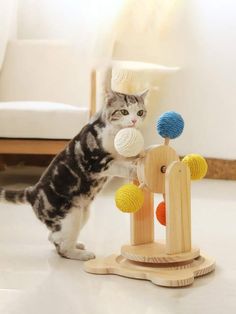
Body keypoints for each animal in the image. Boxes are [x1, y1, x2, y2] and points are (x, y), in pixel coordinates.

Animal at [0, 89, 148, 262]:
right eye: (124, 111)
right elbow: (119, 166)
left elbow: (129, 157)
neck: (114, 132)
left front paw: (142, 154)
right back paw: (81, 254)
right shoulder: (97, 162)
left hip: (83, 213)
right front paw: (135, 170)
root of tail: (33, 191)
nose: (134, 121)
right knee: (61, 246)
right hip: (70, 216)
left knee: (54, 237)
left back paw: (77, 244)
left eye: (140, 112)